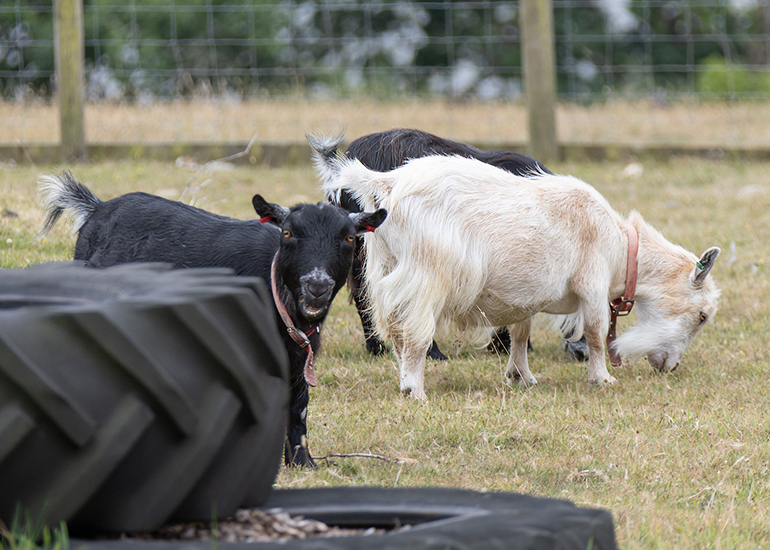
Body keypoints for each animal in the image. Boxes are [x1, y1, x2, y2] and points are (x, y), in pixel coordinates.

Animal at [39, 172, 387, 465]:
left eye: (350, 238)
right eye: (287, 233)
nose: (316, 286)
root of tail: (97, 209)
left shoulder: (299, 355)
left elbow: (299, 406)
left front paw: (303, 463)